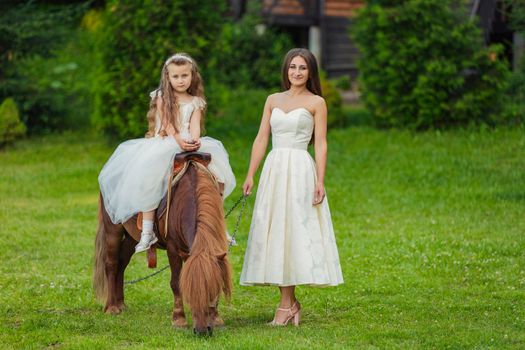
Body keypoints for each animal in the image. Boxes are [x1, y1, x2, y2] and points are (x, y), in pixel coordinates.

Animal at [92, 153, 231, 336]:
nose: (202, 331)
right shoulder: (173, 248)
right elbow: (175, 282)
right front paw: (179, 320)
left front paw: (216, 318)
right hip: (113, 229)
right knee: (112, 264)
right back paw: (112, 307)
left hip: (131, 237)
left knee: (122, 264)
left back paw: (121, 304)